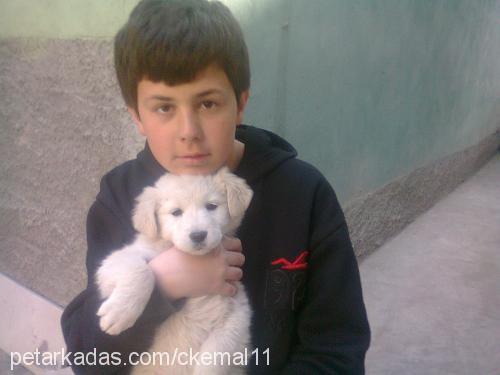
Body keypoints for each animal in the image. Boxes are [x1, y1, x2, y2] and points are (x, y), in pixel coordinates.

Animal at [95, 168, 254, 375]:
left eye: (211, 206)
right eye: (176, 212)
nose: (198, 235)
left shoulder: (235, 315)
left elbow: (215, 357)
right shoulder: (118, 259)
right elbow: (141, 270)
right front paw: (119, 313)